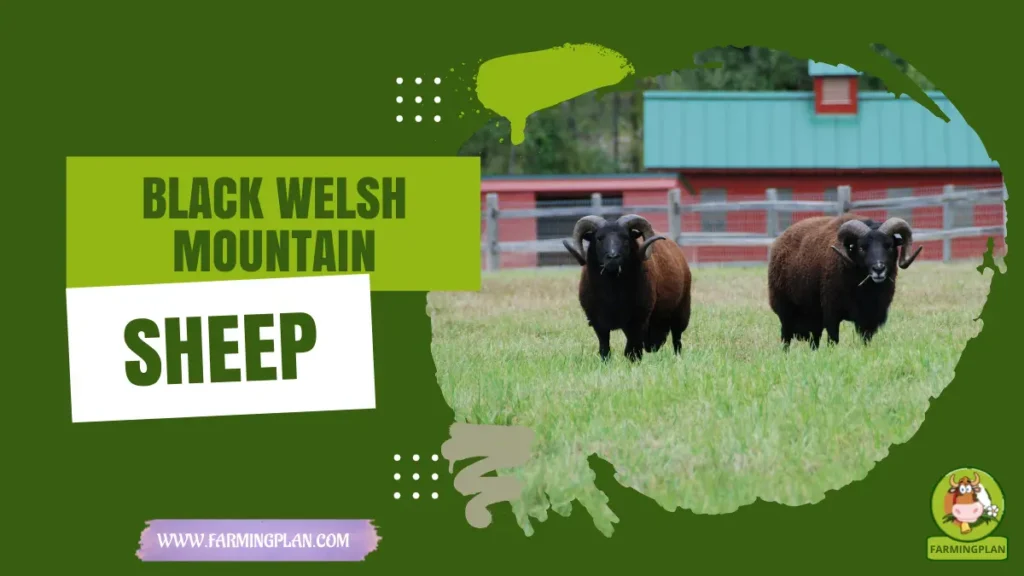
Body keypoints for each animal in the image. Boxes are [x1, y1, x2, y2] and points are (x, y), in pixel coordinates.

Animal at [562, 214, 692, 362]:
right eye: (599, 238)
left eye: (625, 237)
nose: (613, 257)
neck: (613, 293)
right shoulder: (598, 322)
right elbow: (605, 349)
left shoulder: (637, 320)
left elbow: (632, 350)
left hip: (681, 312)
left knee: (677, 340)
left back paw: (678, 358)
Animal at [767, 214, 923, 349]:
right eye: (862, 247)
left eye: (889, 245)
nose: (879, 269)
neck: (867, 291)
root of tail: (780, 239)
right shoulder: (831, 313)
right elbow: (833, 340)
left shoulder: (870, 318)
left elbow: (865, 341)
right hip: (786, 313)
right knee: (786, 339)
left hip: (813, 318)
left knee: (814, 341)